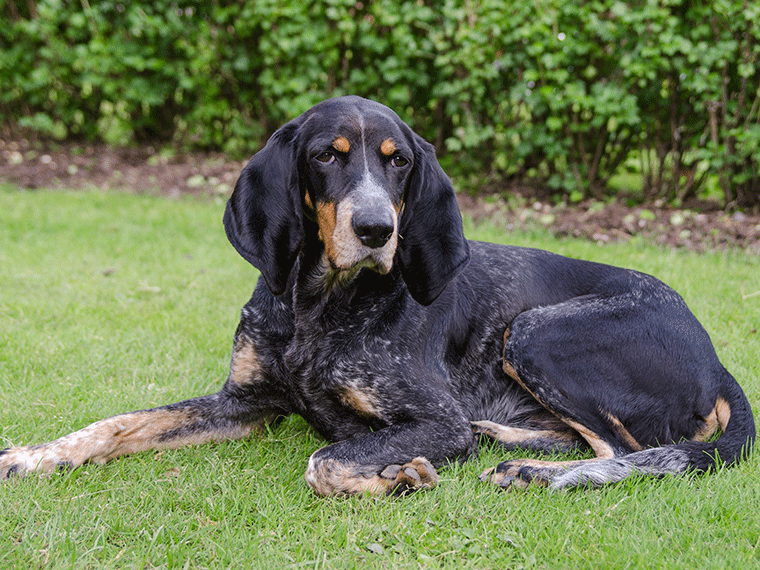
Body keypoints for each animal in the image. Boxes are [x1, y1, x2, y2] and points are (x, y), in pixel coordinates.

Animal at [2, 94, 756, 492]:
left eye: (399, 163)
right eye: (326, 156)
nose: (375, 229)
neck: (319, 306)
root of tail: (715, 357)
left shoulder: (437, 420)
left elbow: (325, 458)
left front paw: (395, 476)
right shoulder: (242, 403)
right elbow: (121, 423)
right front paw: (39, 454)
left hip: (538, 330)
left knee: (631, 454)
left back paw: (538, 472)